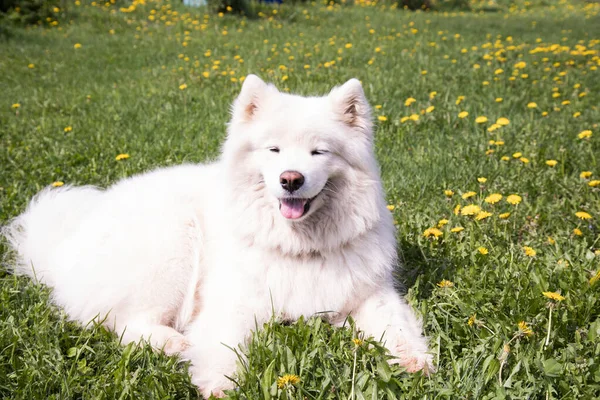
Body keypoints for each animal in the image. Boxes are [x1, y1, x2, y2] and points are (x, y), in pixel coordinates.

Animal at [1, 75, 432, 396]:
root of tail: (66, 246)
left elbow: (397, 326)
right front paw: (220, 383)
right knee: (126, 323)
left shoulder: (369, 294)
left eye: (319, 152)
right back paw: (175, 342)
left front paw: (416, 361)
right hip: (174, 242)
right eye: (274, 150)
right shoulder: (234, 301)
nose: (291, 180)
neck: (297, 246)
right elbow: (224, 342)